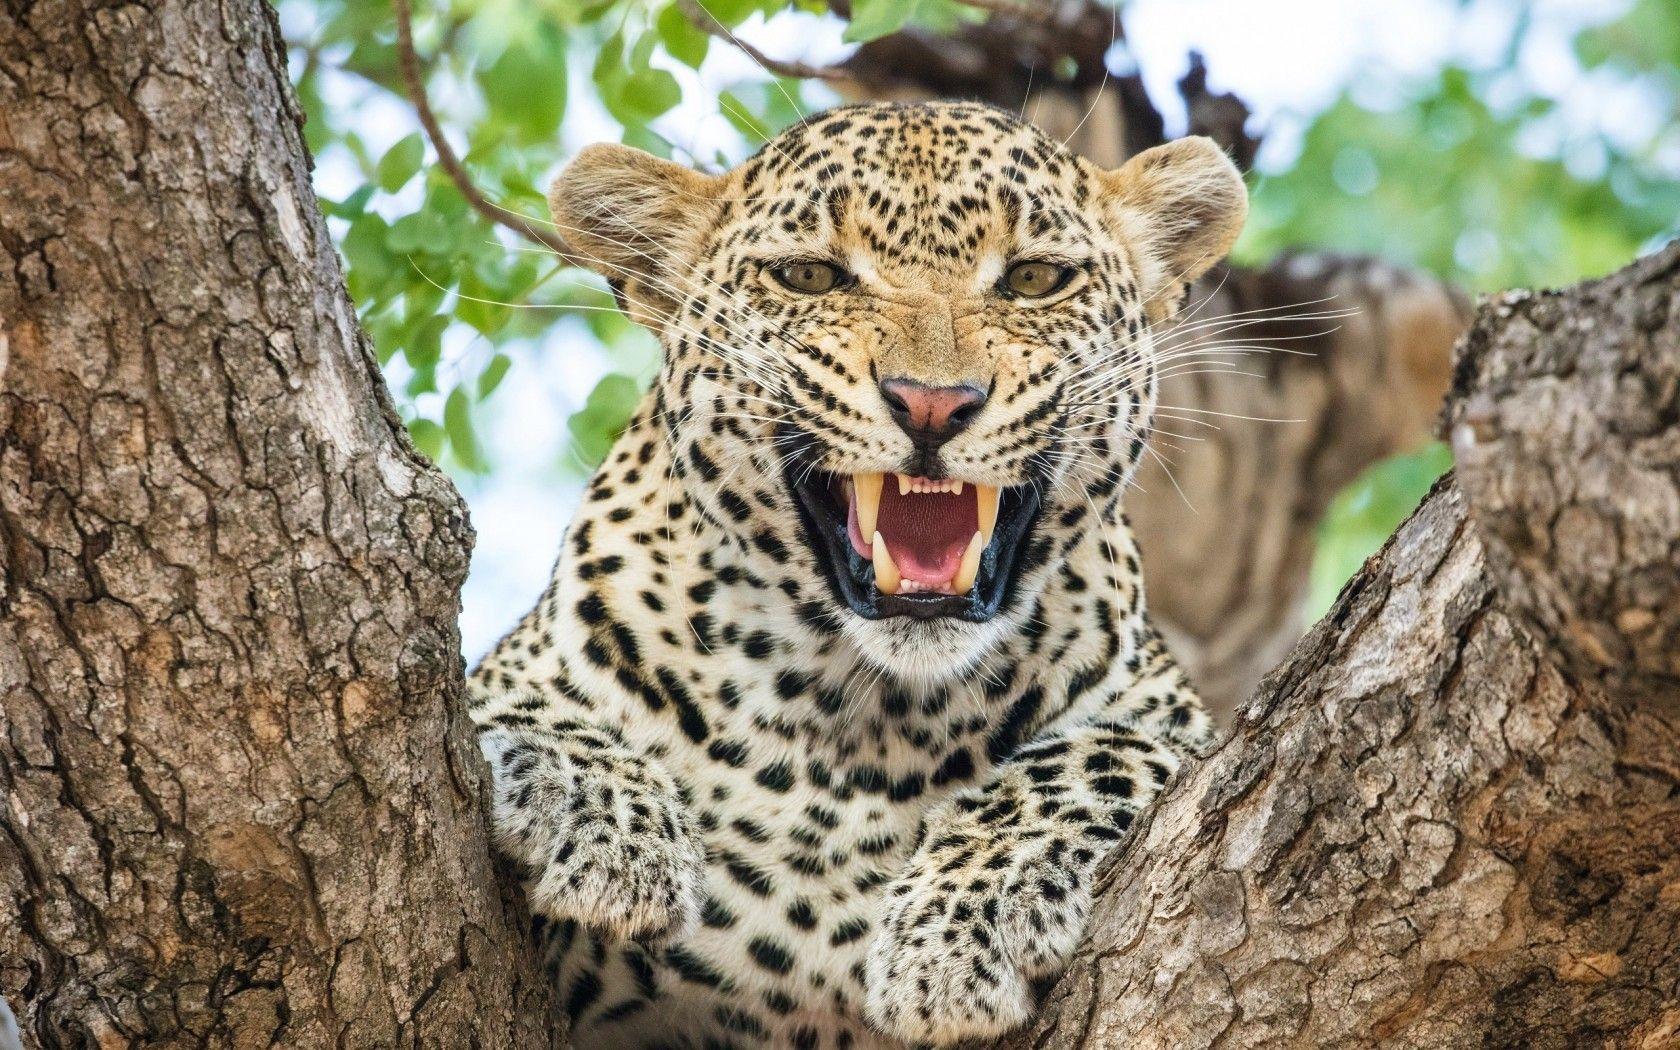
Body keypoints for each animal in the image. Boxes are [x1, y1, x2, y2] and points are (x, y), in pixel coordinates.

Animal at [468, 99, 1246, 1049]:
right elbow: (504, 710)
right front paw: (611, 824)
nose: (932, 403)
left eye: (1034, 280)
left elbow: (1106, 752)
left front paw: (958, 928)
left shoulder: (1177, 726)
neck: (863, 726)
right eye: (808, 276)